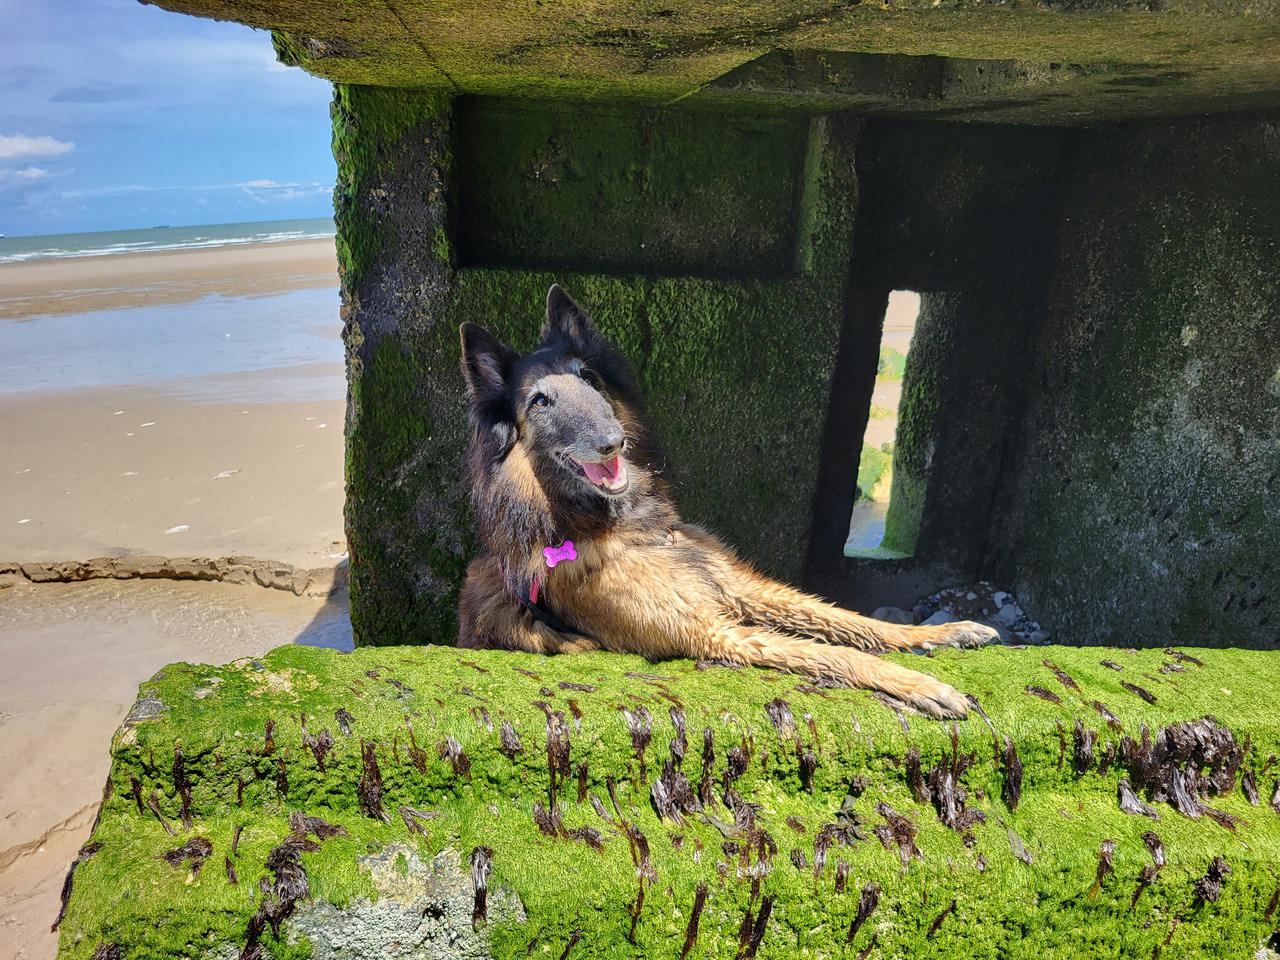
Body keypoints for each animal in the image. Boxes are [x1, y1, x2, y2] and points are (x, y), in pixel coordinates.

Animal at [455, 285, 993, 721]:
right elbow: (836, 652)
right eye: (540, 402)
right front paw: (921, 685)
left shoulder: (738, 587)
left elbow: (851, 620)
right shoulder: (712, 630)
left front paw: (938, 634)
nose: (611, 442)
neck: (628, 529)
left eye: (589, 378)